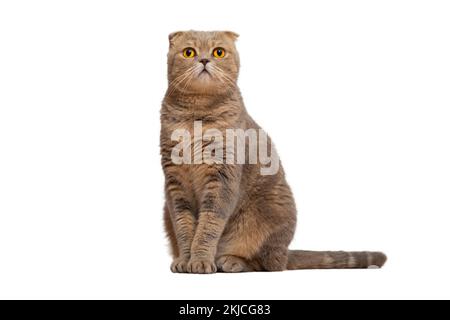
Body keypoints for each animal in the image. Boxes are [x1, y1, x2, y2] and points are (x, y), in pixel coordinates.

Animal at [160, 30, 384, 272]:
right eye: (188, 52)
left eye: (218, 52)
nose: (203, 60)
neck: (196, 115)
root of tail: (285, 252)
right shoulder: (174, 182)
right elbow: (184, 226)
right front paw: (185, 259)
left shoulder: (222, 177)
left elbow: (208, 225)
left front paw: (200, 260)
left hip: (267, 216)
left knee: (267, 262)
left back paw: (230, 260)